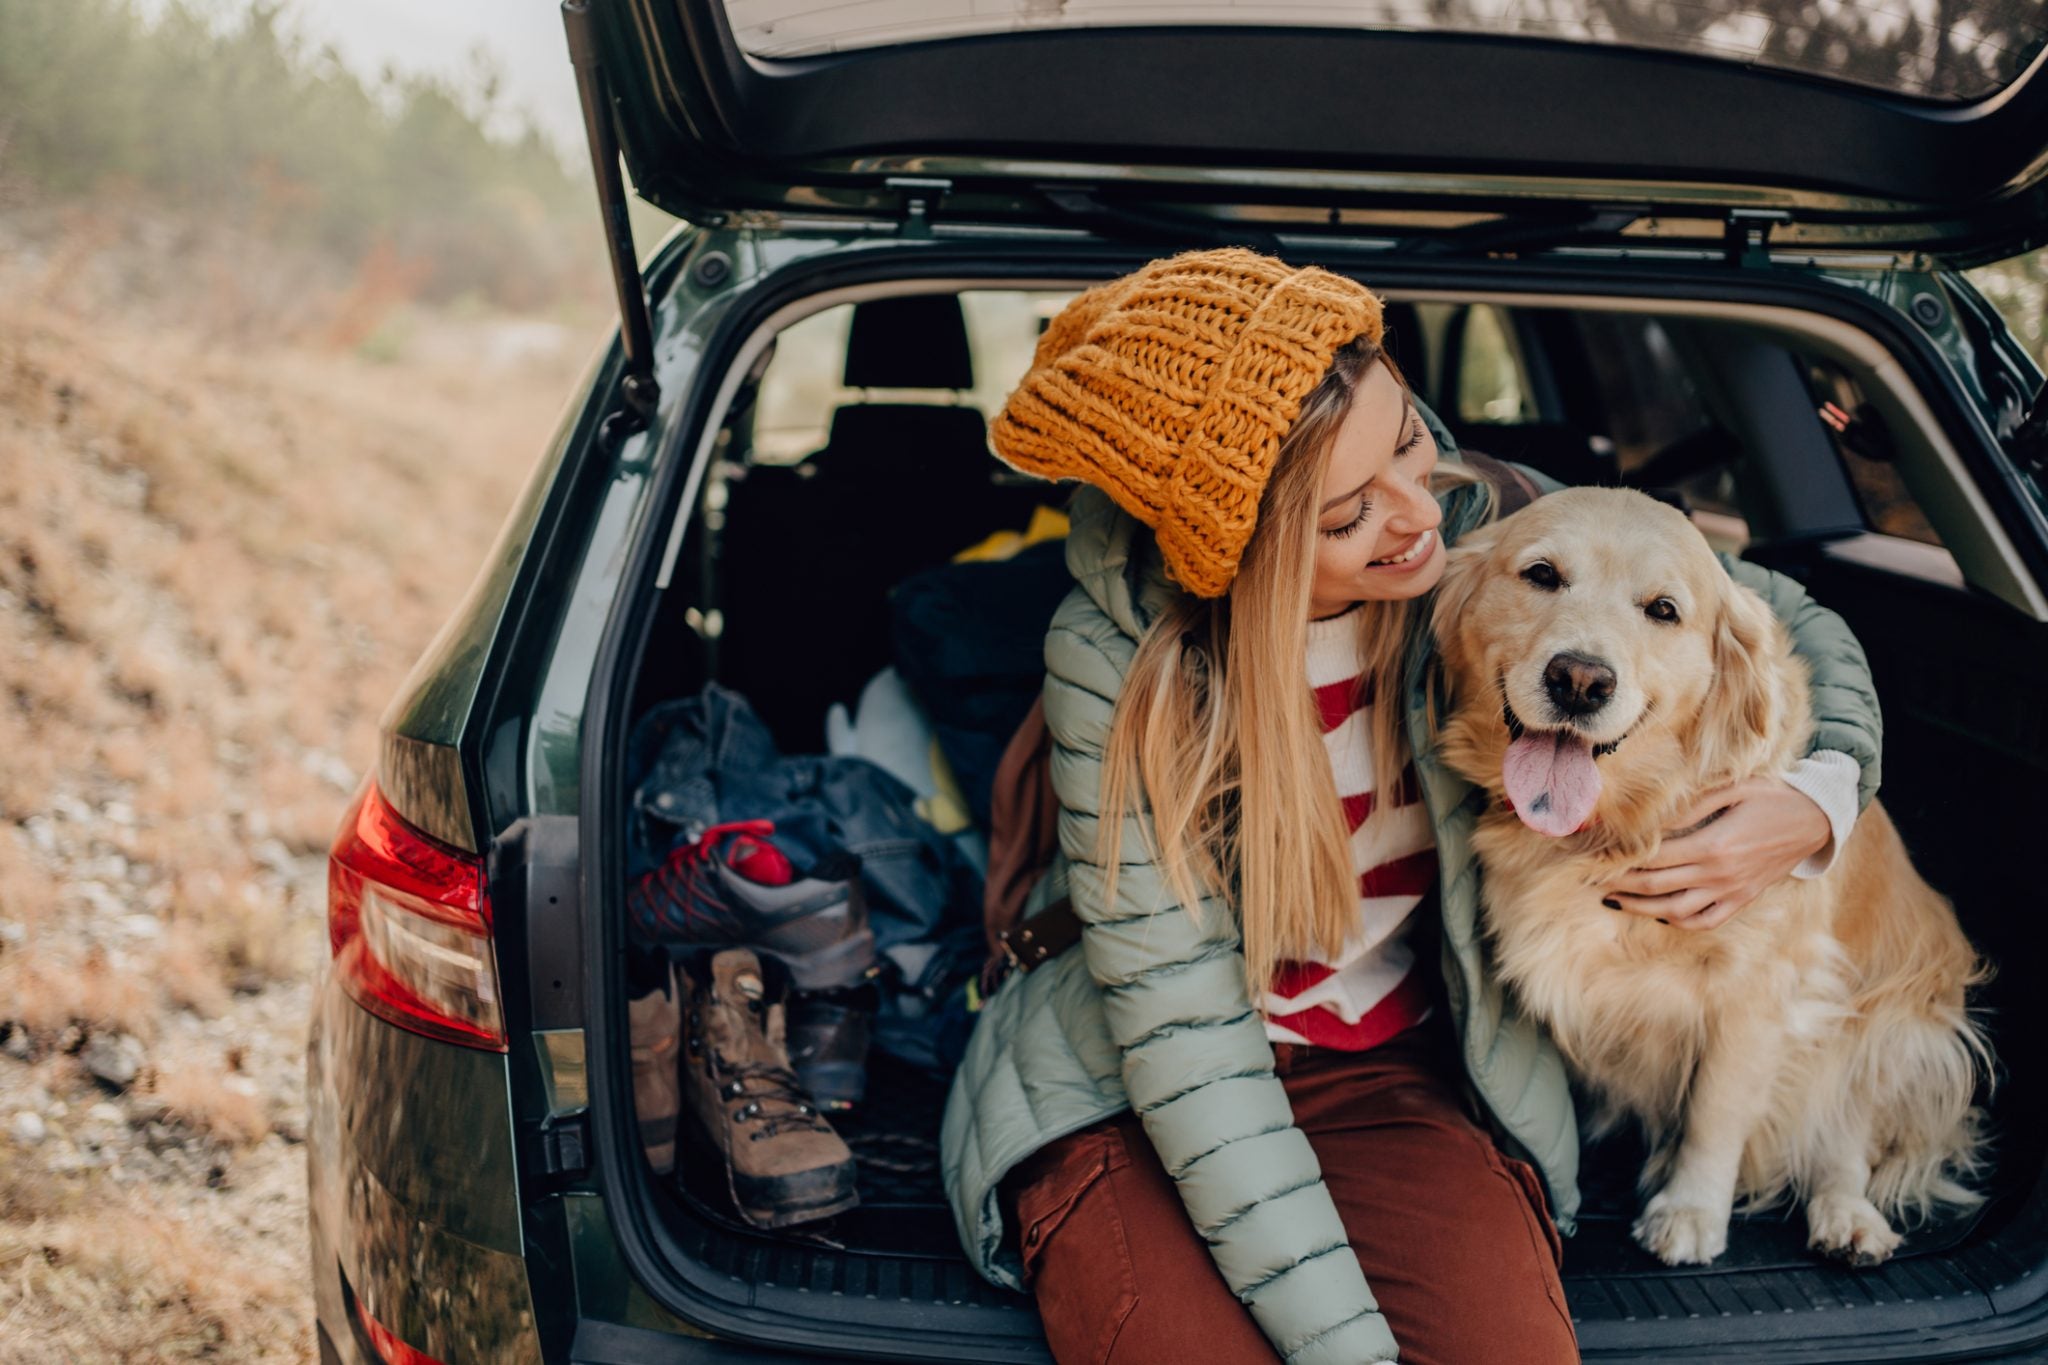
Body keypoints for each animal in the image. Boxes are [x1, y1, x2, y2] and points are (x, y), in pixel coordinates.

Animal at [1433, 489, 1990, 1268]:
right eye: (1541, 574)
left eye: (1664, 610)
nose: (1580, 680)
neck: (1622, 823)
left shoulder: (1762, 989)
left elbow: (1716, 1112)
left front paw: (1691, 1210)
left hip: (1888, 1024)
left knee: (1844, 1133)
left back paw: (1849, 1218)